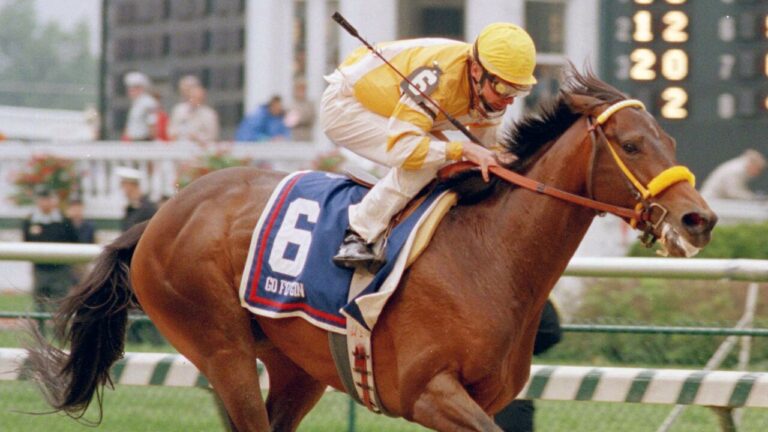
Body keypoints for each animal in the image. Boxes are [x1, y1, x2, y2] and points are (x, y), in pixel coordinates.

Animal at [27, 69, 716, 430]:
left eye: (670, 139)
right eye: (630, 144)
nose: (699, 218)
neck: (489, 257)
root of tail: (160, 216)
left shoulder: (473, 400)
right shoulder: (429, 391)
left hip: (295, 367)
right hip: (219, 347)